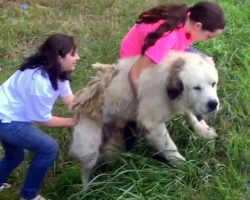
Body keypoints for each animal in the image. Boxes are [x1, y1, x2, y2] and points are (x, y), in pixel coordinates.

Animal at [70, 51, 219, 184]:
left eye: (213, 84)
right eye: (197, 87)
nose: (213, 104)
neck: (170, 72)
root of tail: (78, 108)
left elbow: (191, 116)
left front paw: (203, 131)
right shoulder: (151, 123)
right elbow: (170, 147)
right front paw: (184, 166)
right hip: (89, 149)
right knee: (85, 171)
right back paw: (88, 189)